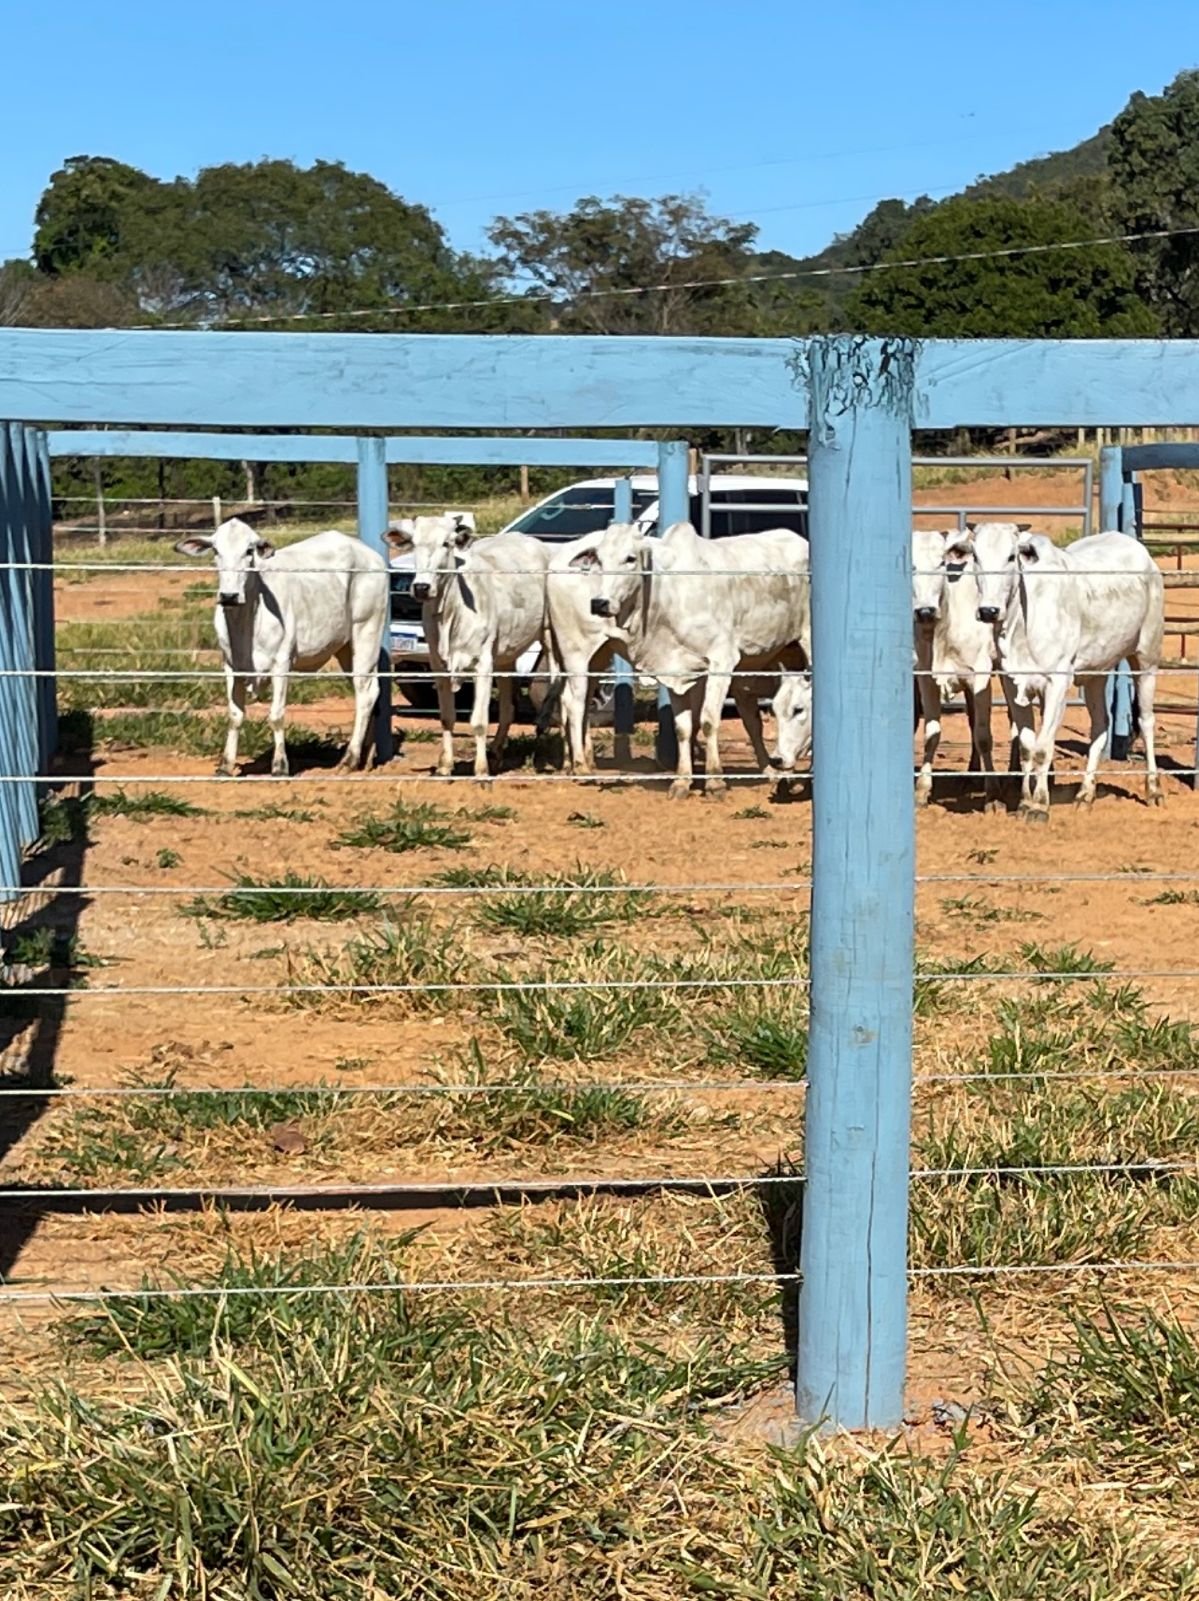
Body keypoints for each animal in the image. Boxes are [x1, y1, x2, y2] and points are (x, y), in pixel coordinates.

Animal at [172, 518, 385, 774]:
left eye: (249, 551)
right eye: (215, 550)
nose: (229, 596)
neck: (246, 623)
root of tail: (368, 553)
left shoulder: (281, 663)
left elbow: (276, 715)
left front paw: (280, 765)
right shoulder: (231, 665)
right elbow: (234, 715)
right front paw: (226, 765)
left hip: (366, 633)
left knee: (365, 695)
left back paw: (350, 759)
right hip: (345, 648)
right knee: (369, 692)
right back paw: (367, 756)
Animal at [385, 515, 550, 778]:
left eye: (446, 543)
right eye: (414, 543)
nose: (421, 587)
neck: (451, 612)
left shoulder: (482, 664)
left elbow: (479, 721)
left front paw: (481, 771)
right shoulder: (438, 665)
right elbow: (447, 716)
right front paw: (445, 765)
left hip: (549, 637)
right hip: (505, 656)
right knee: (508, 707)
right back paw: (496, 752)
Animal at [560, 521, 813, 797]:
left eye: (630, 558)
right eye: (599, 559)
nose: (599, 603)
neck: (671, 595)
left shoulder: (722, 661)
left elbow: (708, 721)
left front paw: (714, 782)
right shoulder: (675, 668)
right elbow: (683, 727)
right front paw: (681, 781)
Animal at [909, 531, 1018, 813]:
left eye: (941, 562)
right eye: (910, 566)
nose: (925, 611)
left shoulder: (980, 678)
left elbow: (983, 735)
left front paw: (993, 796)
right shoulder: (926, 678)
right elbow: (932, 734)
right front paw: (922, 791)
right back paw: (972, 774)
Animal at [966, 525, 1165, 819]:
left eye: (1012, 556)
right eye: (976, 556)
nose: (988, 610)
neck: (1022, 622)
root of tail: (1141, 552)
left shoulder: (1057, 683)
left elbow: (1043, 748)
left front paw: (1039, 806)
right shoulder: (1013, 684)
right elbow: (1026, 747)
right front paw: (1025, 802)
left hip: (1146, 657)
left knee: (1147, 721)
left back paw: (1154, 789)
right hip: (1096, 673)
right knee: (1100, 725)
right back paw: (1085, 794)